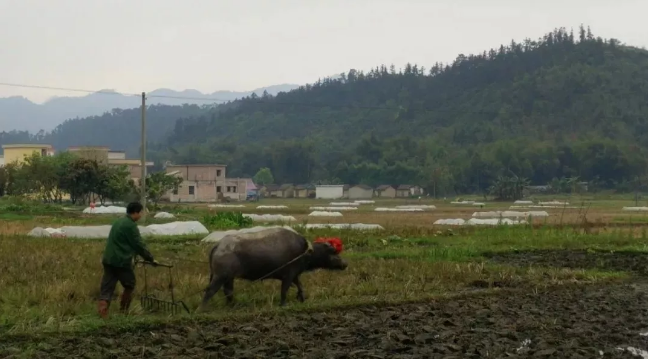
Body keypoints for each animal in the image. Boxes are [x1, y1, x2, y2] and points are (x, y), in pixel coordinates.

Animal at [200, 229, 346, 310]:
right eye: (333, 251)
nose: (345, 264)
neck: (304, 251)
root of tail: (218, 245)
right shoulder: (289, 275)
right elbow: (284, 290)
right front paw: (284, 304)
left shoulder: (295, 275)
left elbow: (300, 286)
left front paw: (302, 298)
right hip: (221, 276)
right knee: (210, 290)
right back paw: (203, 309)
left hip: (228, 277)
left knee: (228, 291)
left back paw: (232, 306)